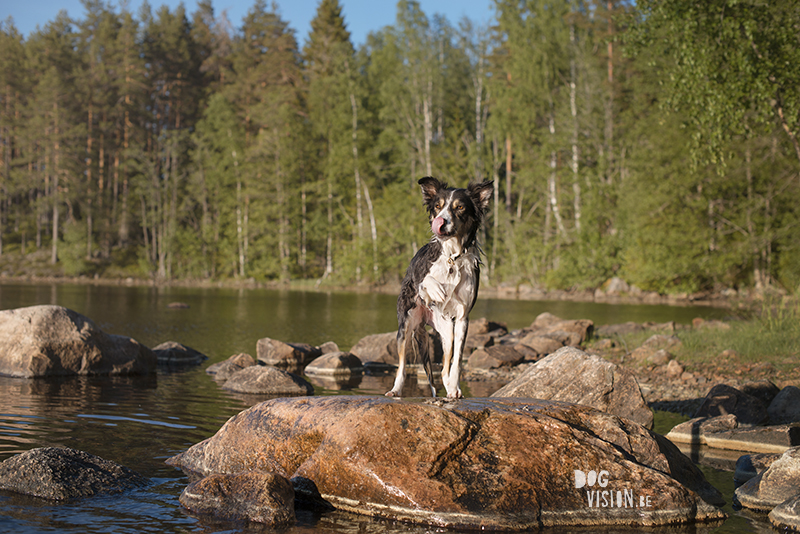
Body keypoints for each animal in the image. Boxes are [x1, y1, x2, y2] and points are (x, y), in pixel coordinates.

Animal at [388, 178, 494, 400]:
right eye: (438, 206)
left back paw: (451, 387)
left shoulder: (462, 319)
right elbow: (424, 280)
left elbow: (457, 360)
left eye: (460, 207)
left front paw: (454, 385)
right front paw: (436, 288)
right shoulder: (417, 274)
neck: (452, 256)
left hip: (446, 330)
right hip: (406, 325)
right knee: (402, 367)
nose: (441, 221)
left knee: (445, 364)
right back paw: (396, 389)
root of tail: (424, 319)